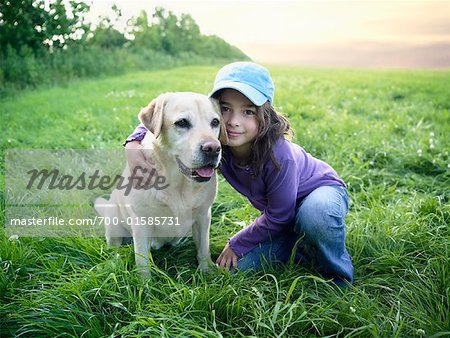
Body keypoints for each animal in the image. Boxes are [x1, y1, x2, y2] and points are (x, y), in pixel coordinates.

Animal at [95, 91, 229, 276]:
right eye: (182, 122)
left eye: (215, 122)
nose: (213, 149)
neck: (179, 184)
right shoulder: (141, 223)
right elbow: (142, 262)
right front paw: (144, 283)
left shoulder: (203, 216)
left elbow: (203, 249)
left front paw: (207, 271)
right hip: (113, 222)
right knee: (114, 249)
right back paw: (113, 263)